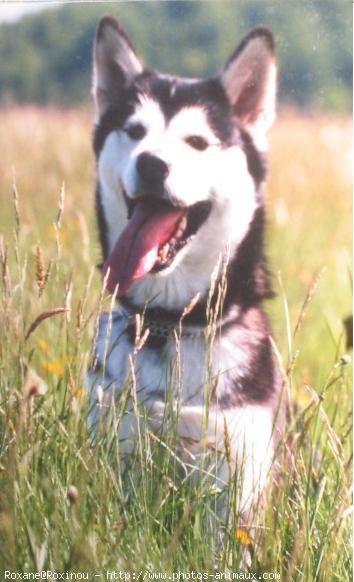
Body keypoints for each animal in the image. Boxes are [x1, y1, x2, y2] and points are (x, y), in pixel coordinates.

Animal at [87, 17, 284, 520]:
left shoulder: (236, 471)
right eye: (134, 131)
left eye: (197, 142)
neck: (173, 325)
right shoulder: (117, 439)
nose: (151, 164)